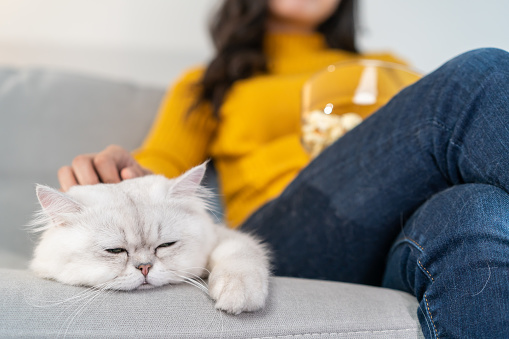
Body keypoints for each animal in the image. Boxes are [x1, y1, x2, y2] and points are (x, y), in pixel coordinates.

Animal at [28, 163, 270, 314]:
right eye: (115, 250)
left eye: (165, 245)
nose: (144, 268)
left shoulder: (226, 237)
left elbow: (240, 254)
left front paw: (237, 296)